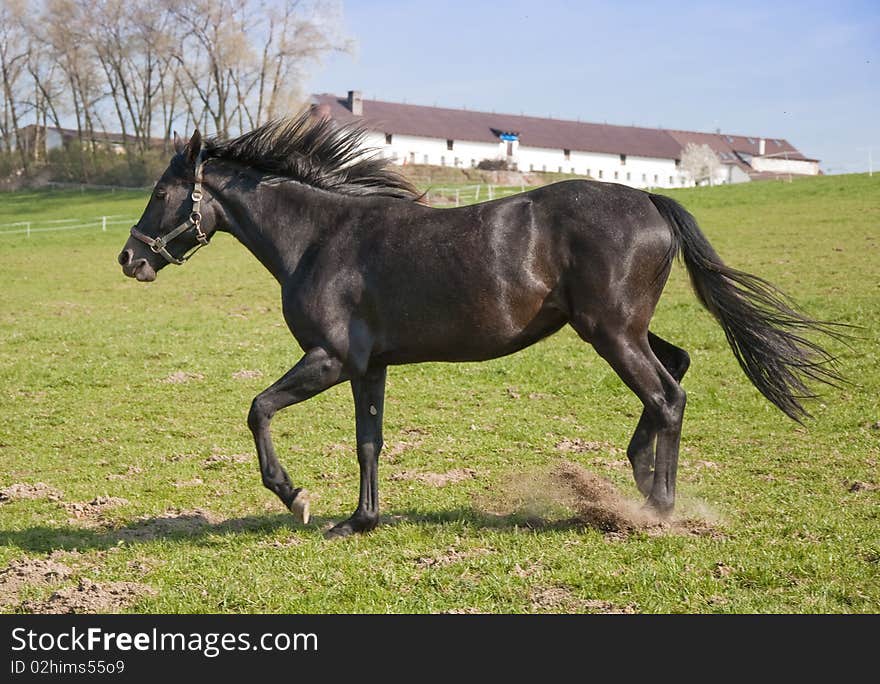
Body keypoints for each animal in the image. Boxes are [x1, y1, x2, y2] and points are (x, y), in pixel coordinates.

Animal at [117, 113, 840, 540]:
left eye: (160, 193)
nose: (129, 259)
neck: (322, 238)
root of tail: (649, 199)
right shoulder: (367, 368)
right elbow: (369, 442)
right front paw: (360, 521)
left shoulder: (328, 358)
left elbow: (258, 408)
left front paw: (294, 496)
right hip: (622, 329)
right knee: (678, 369)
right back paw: (638, 481)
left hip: (610, 333)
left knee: (667, 395)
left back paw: (655, 510)